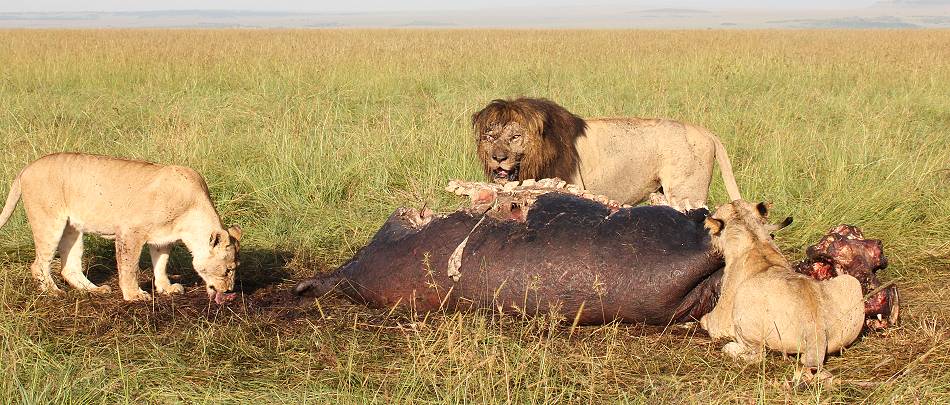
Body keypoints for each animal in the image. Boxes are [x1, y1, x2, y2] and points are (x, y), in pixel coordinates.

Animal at [0, 153, 242, 302]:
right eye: (228, 269)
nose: (229, 291)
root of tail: (26, 168)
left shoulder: (162, 239)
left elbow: (161, 265)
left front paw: (166, 288)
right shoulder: (130, 232)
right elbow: (129, 267)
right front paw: (134, 294)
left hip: (73, 229)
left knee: (69, 267)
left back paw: (96, 290)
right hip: (49, 222)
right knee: (38, 265)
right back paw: (53, 292)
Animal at [474, 97, 744, 205]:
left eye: (515, 137)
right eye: (490, 137)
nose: (498, 158)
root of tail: (706, 132)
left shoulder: (572, 186)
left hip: (687, 193)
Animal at [696, 200, 868, 380]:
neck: (753, 236)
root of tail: (816, 330)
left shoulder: (720, 319)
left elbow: (705, 320)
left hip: (741, 304)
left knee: (758, 354)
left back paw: (730, 348)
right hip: (851, 282)